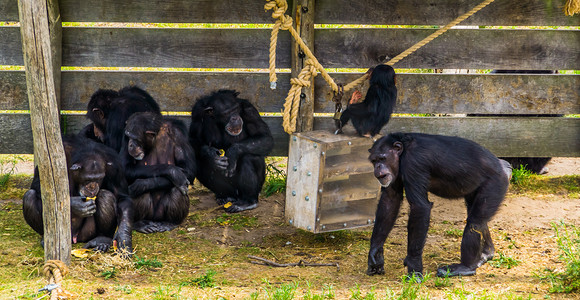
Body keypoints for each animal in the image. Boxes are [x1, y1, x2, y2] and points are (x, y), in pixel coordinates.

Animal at [364, 132, 510, 280]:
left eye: (383, 158)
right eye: (374, 161)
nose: (378, 167)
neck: (403, 152)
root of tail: (504, 166)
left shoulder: (413, 163)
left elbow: (420, 207)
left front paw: (414, 265)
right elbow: (390, 200)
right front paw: (375, 252)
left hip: (495, 184)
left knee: (475, 222)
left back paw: (466, 267)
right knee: (477, 217)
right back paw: (486, 253)